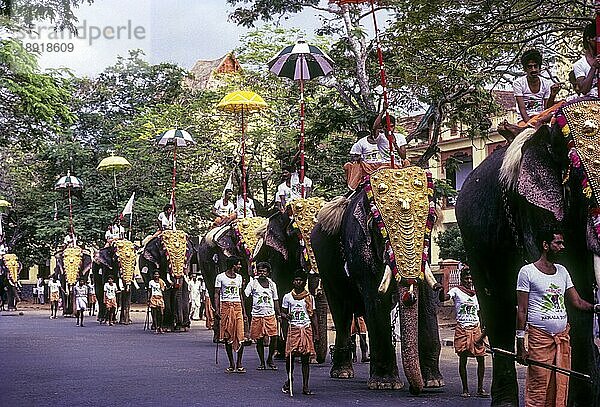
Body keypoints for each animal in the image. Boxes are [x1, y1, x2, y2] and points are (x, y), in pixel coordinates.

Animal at [310, 167, 446, 396]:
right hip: (325, 268)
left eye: (431, 219)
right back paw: (342, 373)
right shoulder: (359, 244)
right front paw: (385, 385)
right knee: (342, 312)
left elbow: (427, 301)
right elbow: (375, 296)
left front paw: (434, 382)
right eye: (376, 225)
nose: (415, 390)